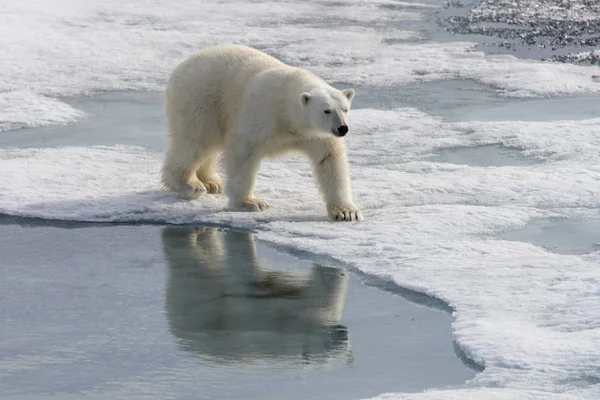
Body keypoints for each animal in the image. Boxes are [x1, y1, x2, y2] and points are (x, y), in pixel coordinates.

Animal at [159, 47, 364, 223]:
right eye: (326, 110)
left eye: (345, 108)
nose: (342, 128)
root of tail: (182, 65)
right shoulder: (262, 113)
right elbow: (244, 152)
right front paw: (250, 203)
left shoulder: (316, 135)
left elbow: (329, 159)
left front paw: (346, 212)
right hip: (201, 99)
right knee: (196, 141)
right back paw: (190, 184)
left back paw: (211, 182)